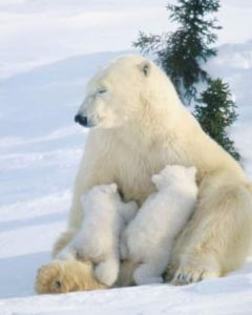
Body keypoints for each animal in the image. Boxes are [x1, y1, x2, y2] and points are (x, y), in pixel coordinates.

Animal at [36, 55, 252, 294]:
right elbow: (90, 192)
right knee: (66, 242)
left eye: (102, 90)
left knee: (227, 206)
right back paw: (58, 276)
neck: (139, 129)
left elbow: (222, 177)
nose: (80, 117)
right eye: (87, 89)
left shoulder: (177, 144)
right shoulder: (107, 150)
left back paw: (190, 272)